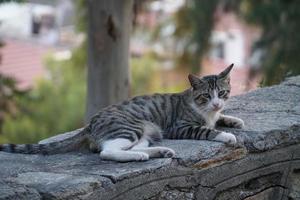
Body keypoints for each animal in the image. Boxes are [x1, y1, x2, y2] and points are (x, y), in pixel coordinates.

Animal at [0, 65, 244, 162]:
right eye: (206, 96)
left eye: (222, 93)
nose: (216, 103)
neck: (202, 109)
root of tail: (90, 124)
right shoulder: (180, 126)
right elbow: (206, 130)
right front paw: (227, 136)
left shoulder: (214, 114)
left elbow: (220, 119)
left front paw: (234, 120)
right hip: (129, 127)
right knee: (107, 152)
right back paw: (141, 156)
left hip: (146, 131)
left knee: (132, 147)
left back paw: (158, 151)